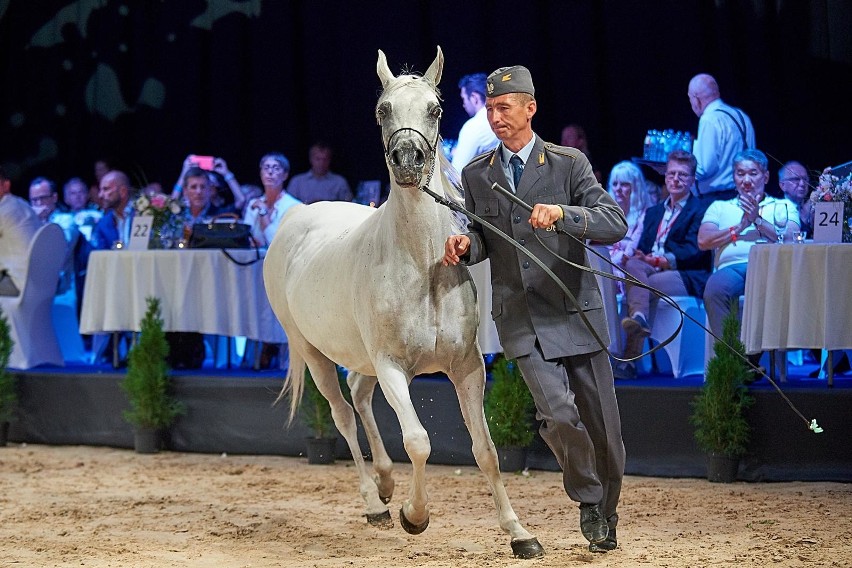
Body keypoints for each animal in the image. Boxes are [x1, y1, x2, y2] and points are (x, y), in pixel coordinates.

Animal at [262, 47, 544, 560]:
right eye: (382, 110)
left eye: (435, 109)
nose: (409, 160)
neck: (421, 266)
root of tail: (296, 218)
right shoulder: (393, 366)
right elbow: (418, 441)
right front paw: (415, 516)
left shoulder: (467, 367)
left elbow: (486, 450)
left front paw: (519, 533)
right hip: (313, 352)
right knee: (342, 413)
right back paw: (376, 503)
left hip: (361, 359)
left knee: (358, 394)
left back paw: (386, 482)